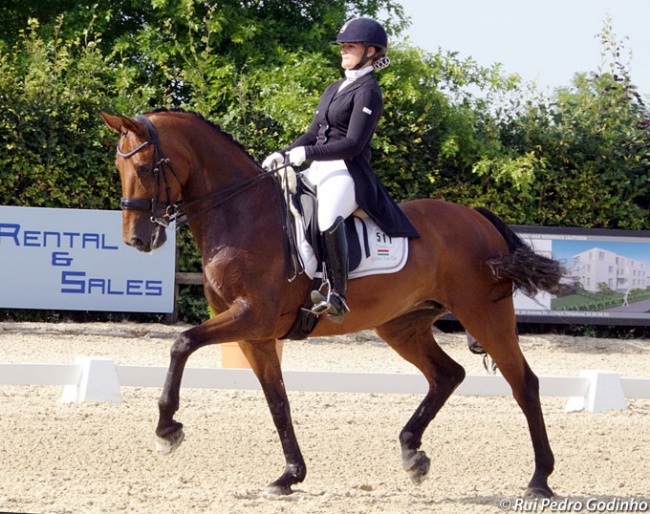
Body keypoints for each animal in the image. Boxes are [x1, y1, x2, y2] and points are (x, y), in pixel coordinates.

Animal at [100, 108, 560, 496]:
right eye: (119, 168)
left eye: (143, 167)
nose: (137, 238)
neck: (241, 214)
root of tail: (478, 217)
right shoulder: (257, 334)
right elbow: (278, 401)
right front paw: (289, 475)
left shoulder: (251, 317)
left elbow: (182, 343)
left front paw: (167, 430)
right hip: (401, 325)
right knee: (447, 374)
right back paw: (412, 453)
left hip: (484, 314)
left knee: (524, 384)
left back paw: (539, 479)